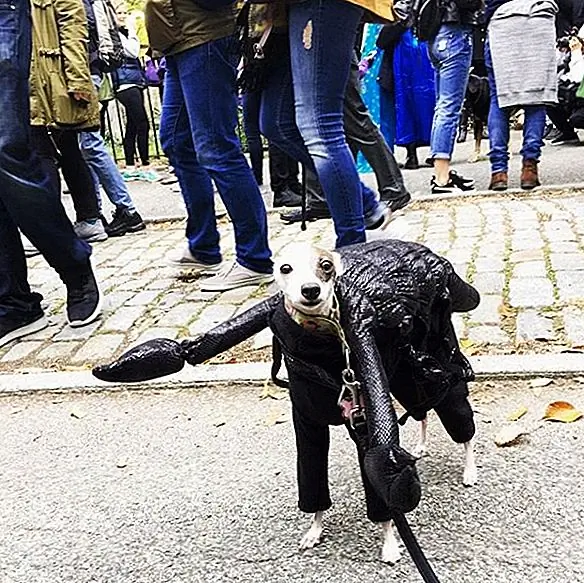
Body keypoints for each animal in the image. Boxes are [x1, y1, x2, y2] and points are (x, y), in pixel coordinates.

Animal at [93, 238, 482, 564]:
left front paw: (389, 543)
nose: (310, 290)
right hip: (404, 374)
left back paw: (469, 469)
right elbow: (311, 480)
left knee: (454, 408)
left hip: (431, 353)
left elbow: (382, 459)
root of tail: (434, 259)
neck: (321, 346)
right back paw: (421, 444)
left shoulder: (365, 372)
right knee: (422, 406)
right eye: (284, 268)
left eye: (326, 266)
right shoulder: (307, 423)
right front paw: (315, 528)